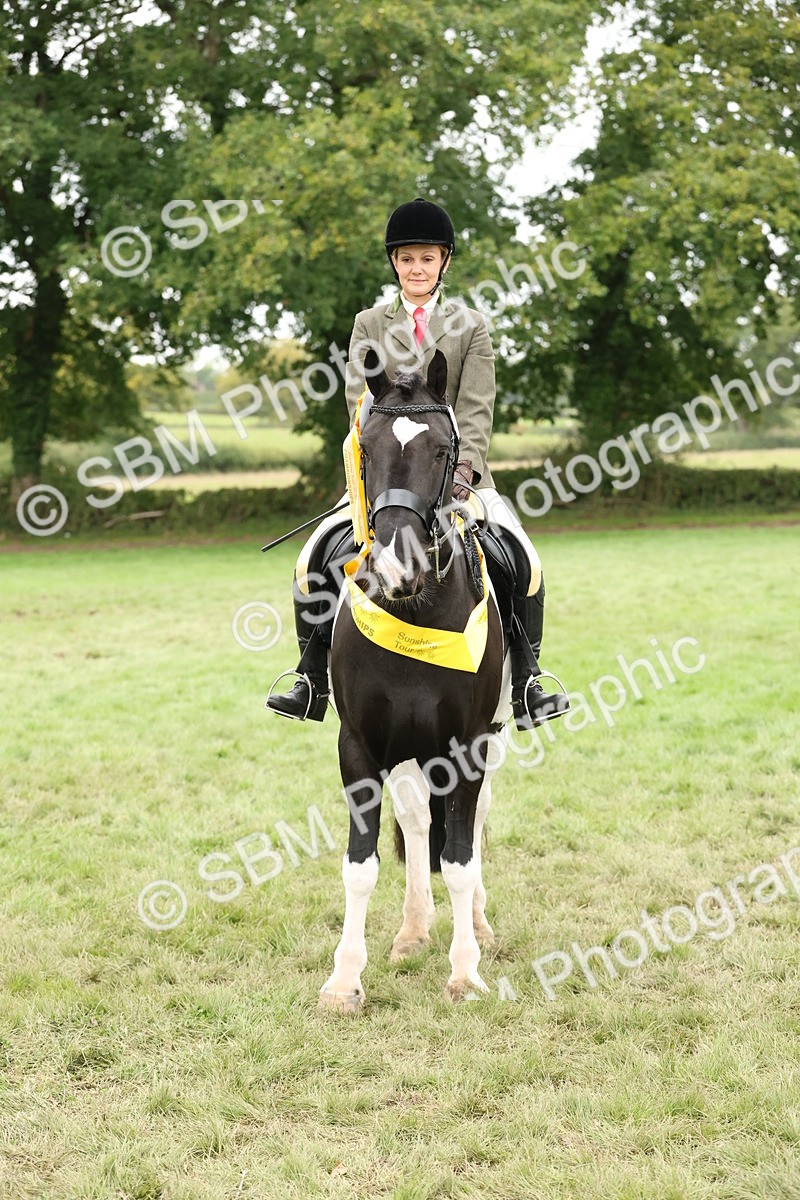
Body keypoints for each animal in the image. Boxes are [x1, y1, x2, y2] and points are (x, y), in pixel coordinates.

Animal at [318, 347, 510, 1013]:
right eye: (368, 448)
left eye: (441, 448)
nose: (397, 570)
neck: (415, 609)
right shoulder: (359, 745)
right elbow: (361, 863)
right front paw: (344, 980)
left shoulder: (469, 745)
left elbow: (459, 858)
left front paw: (465, 972)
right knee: (418, 820)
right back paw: (411, 931)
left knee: (469, 827)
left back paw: (476, 925)